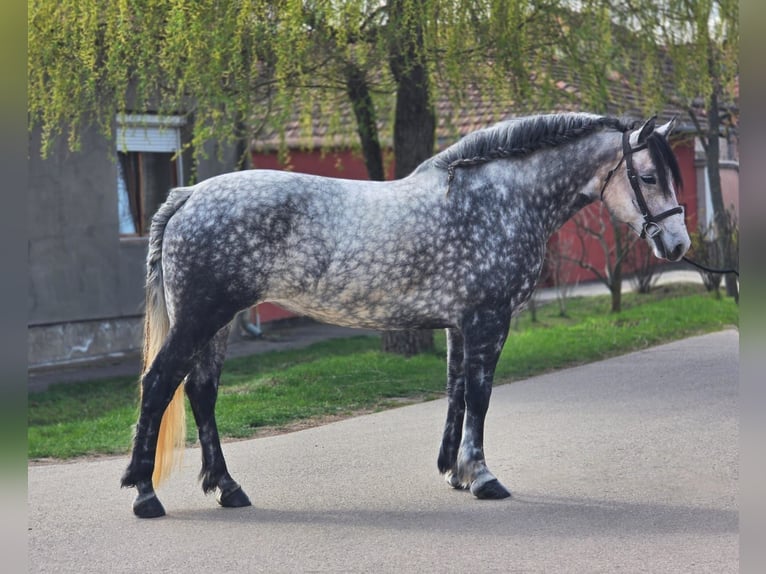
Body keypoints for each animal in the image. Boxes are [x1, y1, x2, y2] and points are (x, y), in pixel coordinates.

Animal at [121, 112, 690, 518]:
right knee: (159, 384)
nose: (679, 244)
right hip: (200, 318)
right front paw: (483, 477)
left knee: (201, 391)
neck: (500, 199)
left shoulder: (461, 324)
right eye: (647, 176)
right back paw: (145, 495)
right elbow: (480, 396)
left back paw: (227, 488)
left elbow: (457, 392)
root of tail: (188, 195)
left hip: (217, 324)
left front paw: (456, 473)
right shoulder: (488, 320)